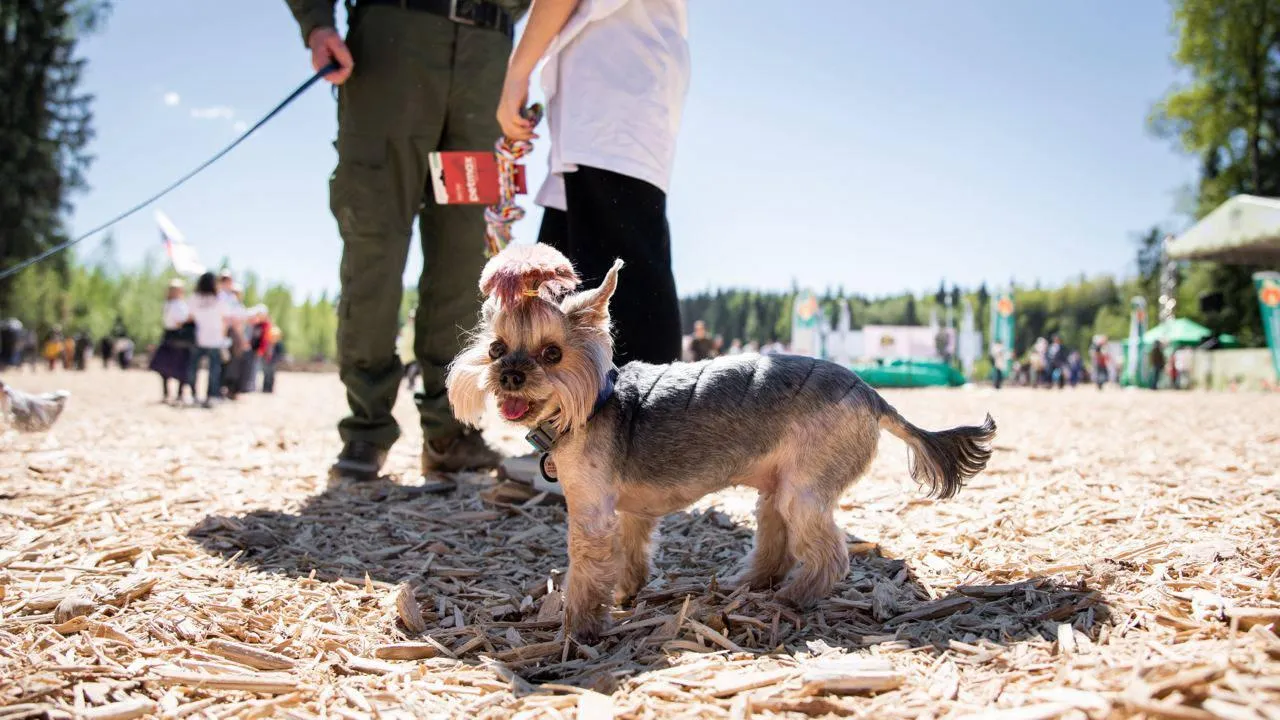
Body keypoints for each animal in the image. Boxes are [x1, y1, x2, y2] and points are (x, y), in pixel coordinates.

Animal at [450, 242, 998, 638]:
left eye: (552, 353)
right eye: (496, 347)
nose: (510, 374)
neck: (590, 404)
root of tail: (872, 394)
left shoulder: (590, 512)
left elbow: (586, 569)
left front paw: (578, 628)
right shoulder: (628, 512)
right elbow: (631, 553)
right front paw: (627, 595)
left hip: (806, 486)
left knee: (828, 554)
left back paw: (795, 597)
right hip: (777, 482)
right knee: (776, 541)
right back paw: (747, 583)